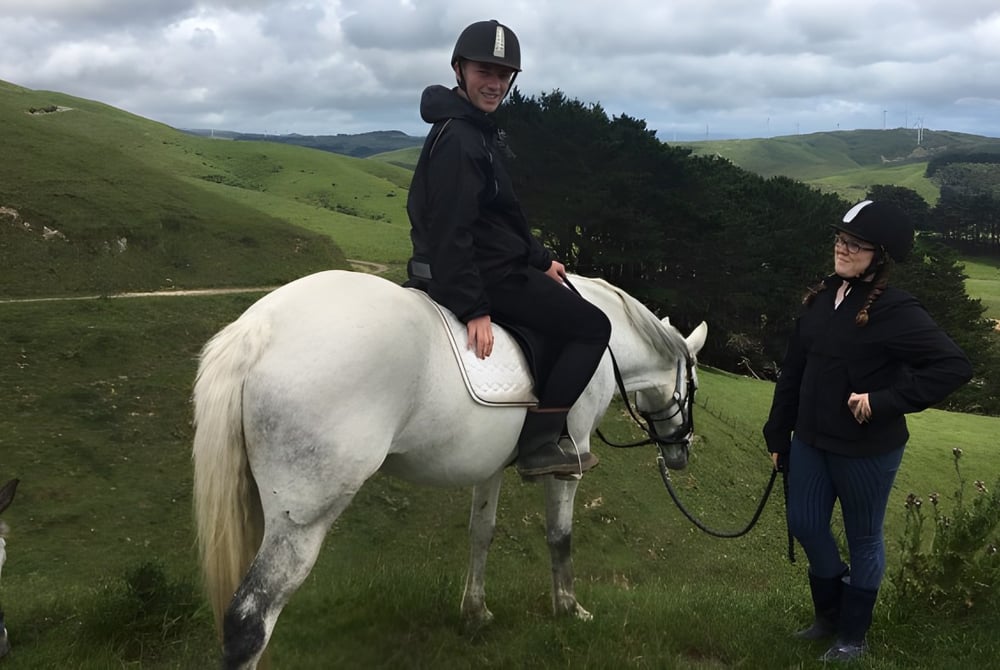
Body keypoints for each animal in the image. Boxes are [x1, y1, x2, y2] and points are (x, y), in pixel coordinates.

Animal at [192, 270, 707, 669]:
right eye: (696, 387)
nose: (680, 453)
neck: (608, 347)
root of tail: (260, 327)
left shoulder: (490, 465)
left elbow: (482, 533)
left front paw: (475, 613)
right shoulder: (571, 459)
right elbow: (560, 537)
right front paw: (568, 608)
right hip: (302, 517)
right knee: (249, 620)